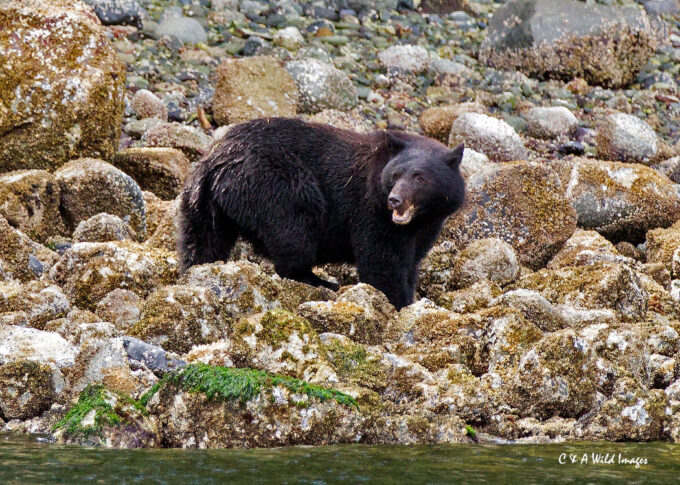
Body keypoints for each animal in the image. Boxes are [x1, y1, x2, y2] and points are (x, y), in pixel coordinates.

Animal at [178, 118, 465, 310]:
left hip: (203, 200)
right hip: (276, 183)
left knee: (203, 240)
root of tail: (217, 157)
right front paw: (398, 302)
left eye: (420, 177)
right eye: (396, 174)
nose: (394, 200)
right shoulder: (370, 211)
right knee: (295, 231)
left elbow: (412, 263)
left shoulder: (425, 227)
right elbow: (382, 261)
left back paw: (197, 269)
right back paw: (319, 281)